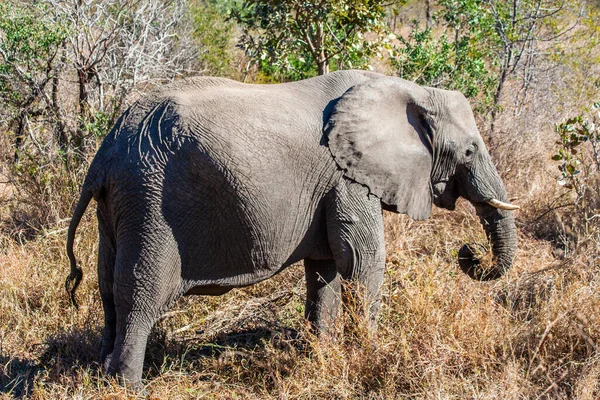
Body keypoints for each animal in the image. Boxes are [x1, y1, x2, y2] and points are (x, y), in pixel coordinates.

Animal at [63, 70, 516, 386]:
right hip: (150, 200)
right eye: (470, 150)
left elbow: (325, 268)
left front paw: (322, 353)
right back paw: (128, 386)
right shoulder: (346, 177)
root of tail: (107, 150)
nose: (468, 252)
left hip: (119, 205)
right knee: (140, 291)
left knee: (107, 286)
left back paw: (100, 374)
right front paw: (368, 354)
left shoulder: (330, 186)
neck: (406, 89)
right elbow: (362, 260)